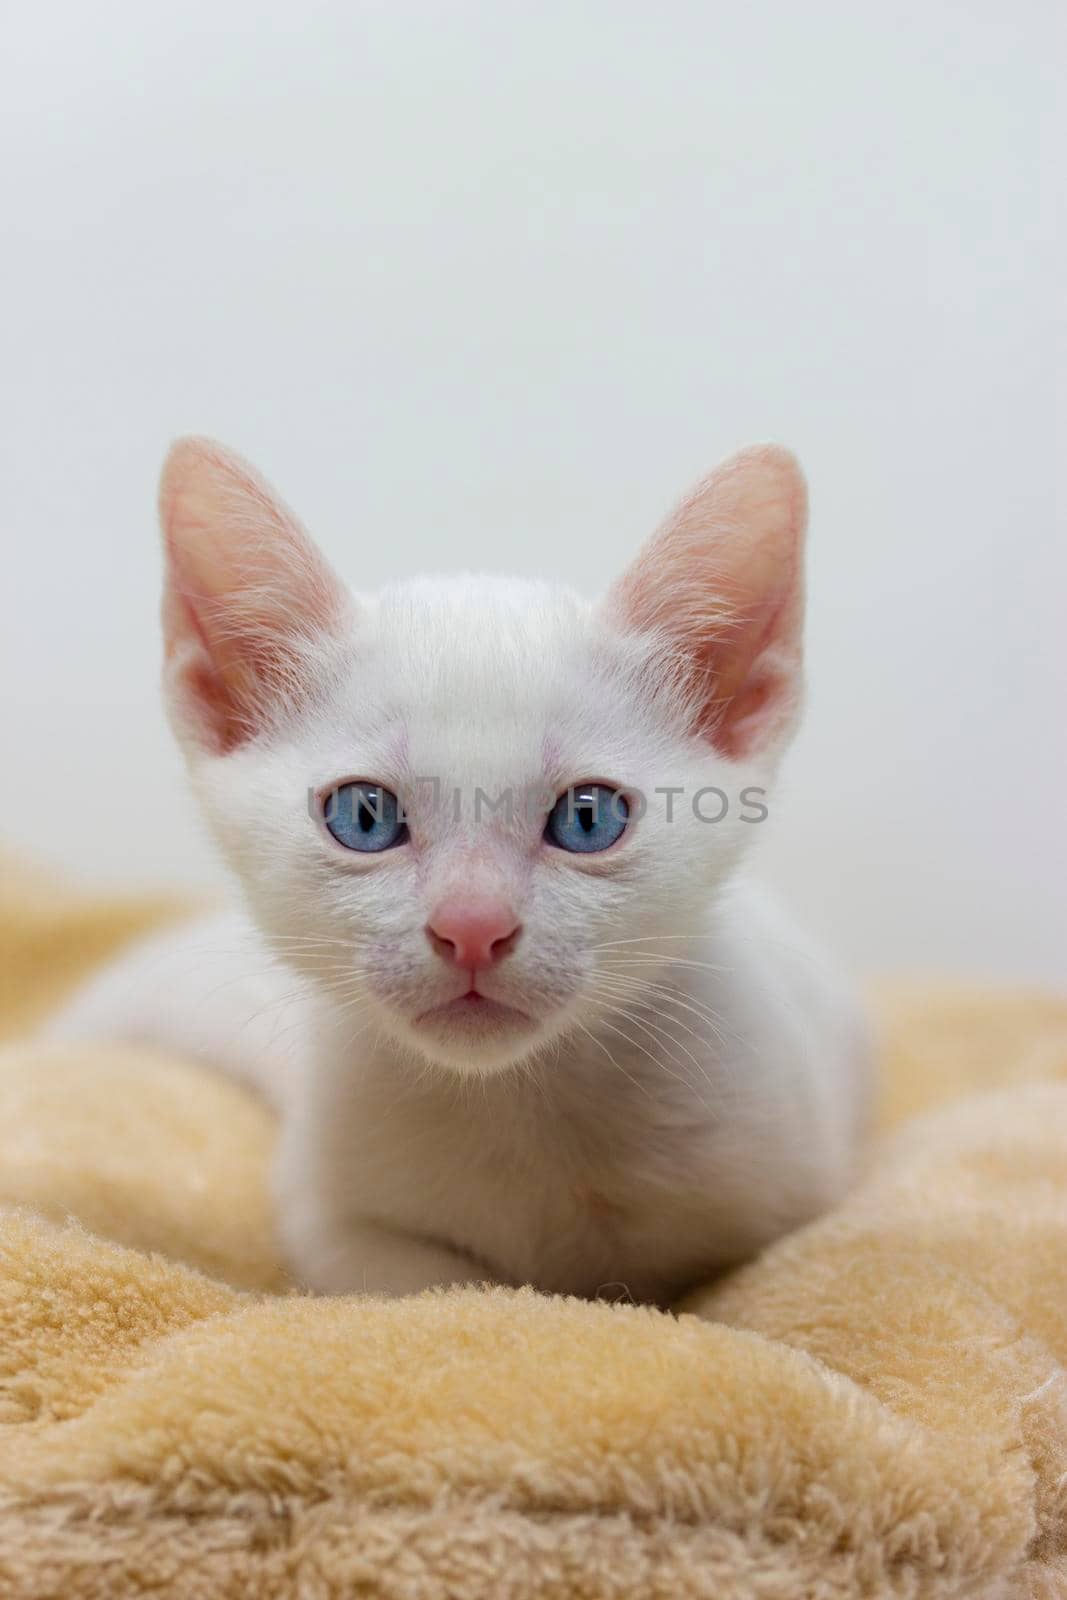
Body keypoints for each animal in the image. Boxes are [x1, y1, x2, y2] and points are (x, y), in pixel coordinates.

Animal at [49, 438, 870, 1299]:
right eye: (364, 816)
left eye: (588, 818)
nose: (472, 926)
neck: (519, 1102)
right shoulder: (332, 1219)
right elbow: (447, 1288)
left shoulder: (794, 1200)